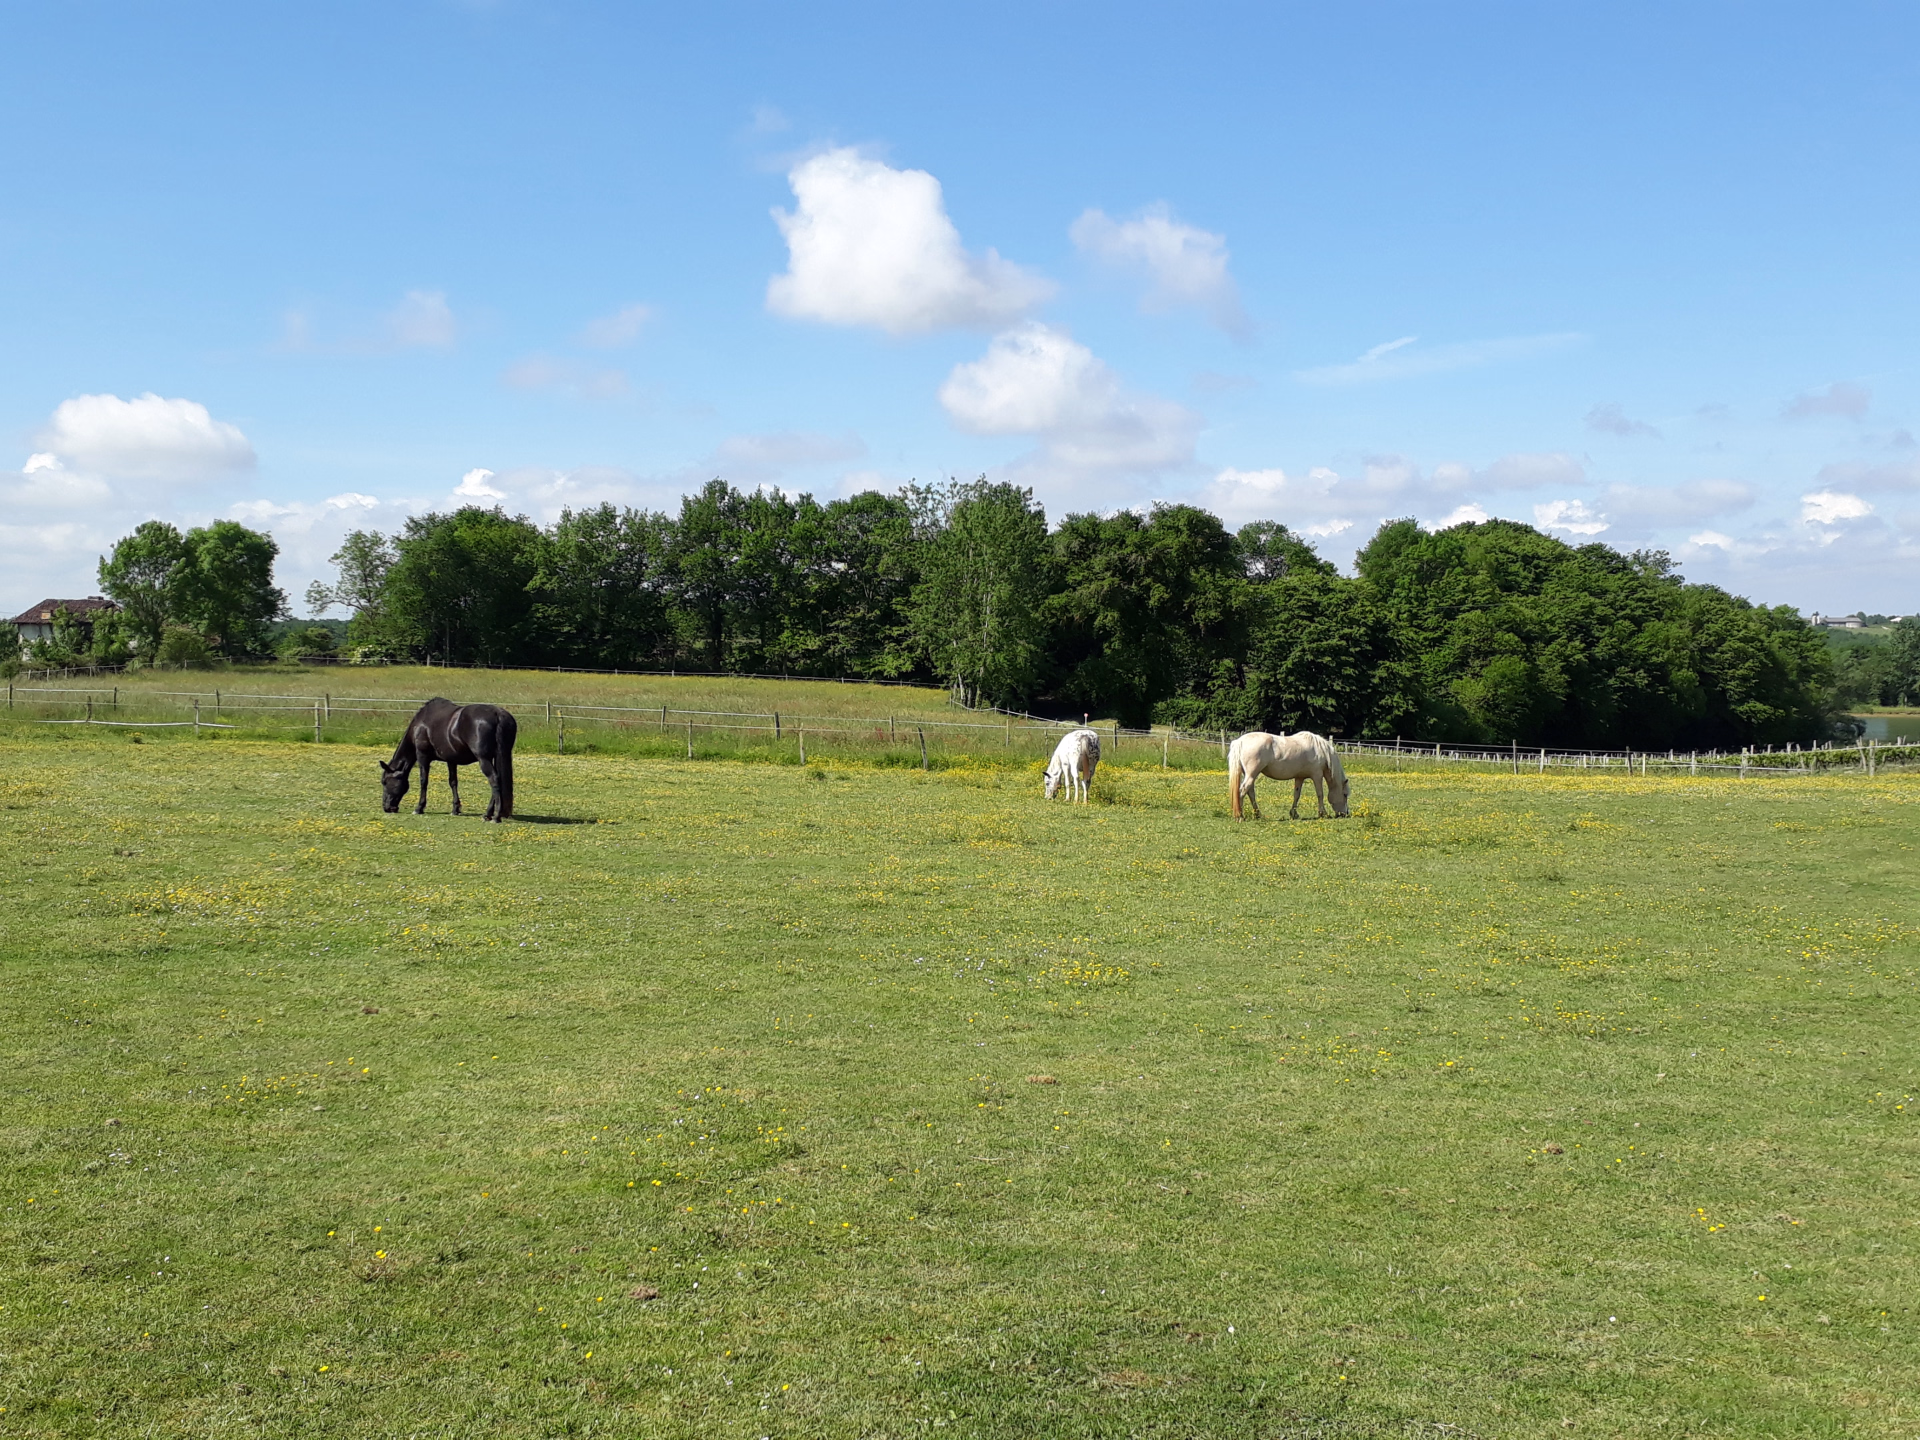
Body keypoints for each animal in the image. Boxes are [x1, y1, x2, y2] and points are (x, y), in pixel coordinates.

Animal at [380, 698, 517, 822]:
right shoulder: (451, 760)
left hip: (484, 759)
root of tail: (498, 715)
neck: (421, 724)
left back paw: (494, 816)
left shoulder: (422, 756)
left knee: (494, 779)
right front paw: (455, 809)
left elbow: (424, 781)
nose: (386, 808)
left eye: (385, 782)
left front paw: (419, 808)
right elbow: (453, 782)